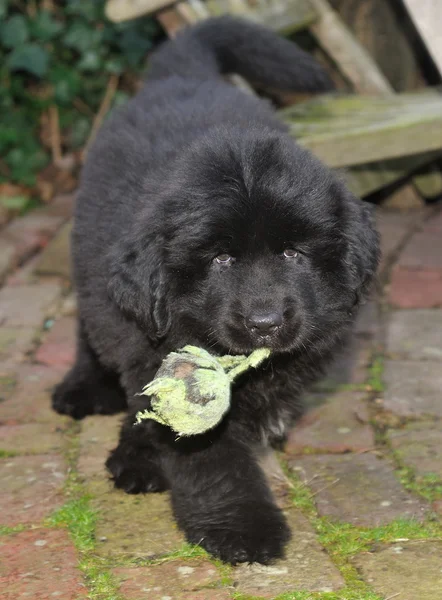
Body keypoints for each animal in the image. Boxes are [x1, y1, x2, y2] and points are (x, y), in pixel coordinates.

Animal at [52, 16, 380, 564]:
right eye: (220, 259)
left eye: (293, 253)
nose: (265, 323)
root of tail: (181, 72)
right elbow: (214, 458)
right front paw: (243, 529)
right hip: (90, 267)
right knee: (89, 327)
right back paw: (88, 396)